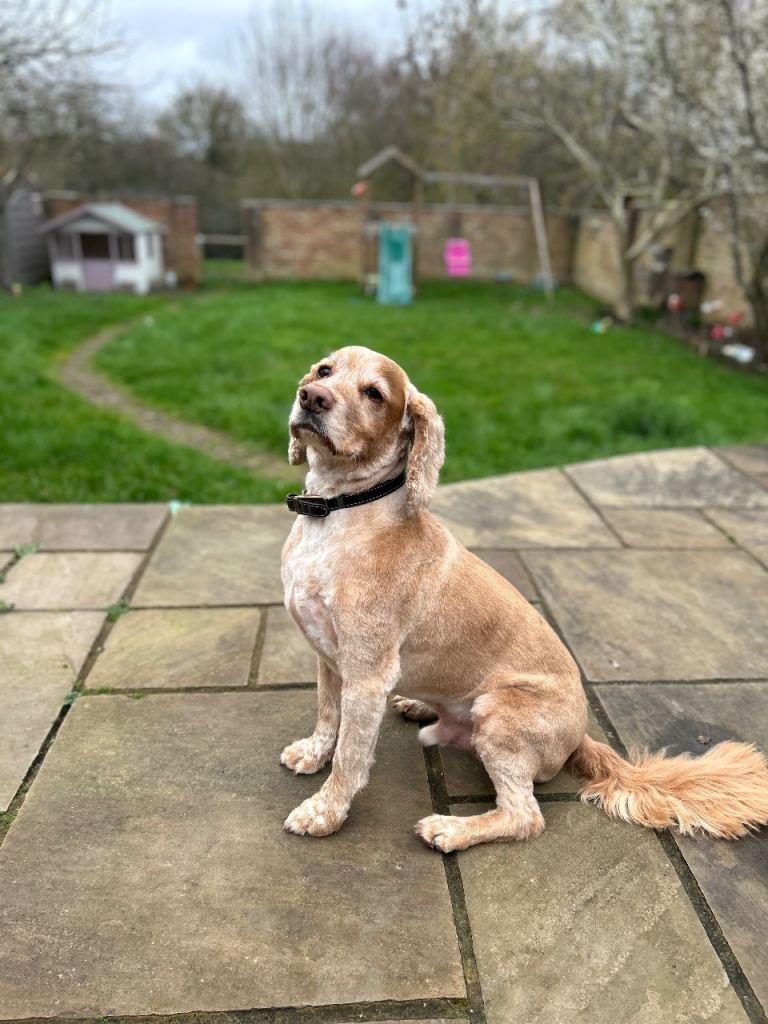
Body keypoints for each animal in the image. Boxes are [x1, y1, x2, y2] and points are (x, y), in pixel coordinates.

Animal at [280, 346, 768, 852]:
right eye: (324, 370)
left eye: (375, 394)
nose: (312, 397)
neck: (336, 514)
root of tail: (581, 735)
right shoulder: (328, 656)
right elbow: (327, 713)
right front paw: (313, 753)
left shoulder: (367, 673)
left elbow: (351, 755)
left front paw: (324, 811)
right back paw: (419, 706)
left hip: (500, 716)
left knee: (524, 817)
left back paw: (450, 829)